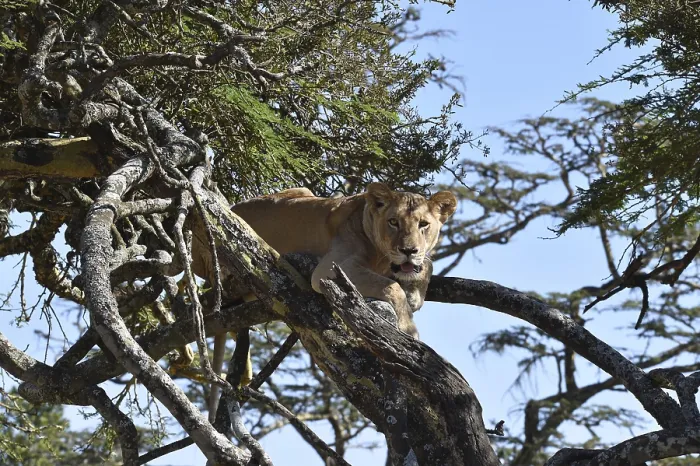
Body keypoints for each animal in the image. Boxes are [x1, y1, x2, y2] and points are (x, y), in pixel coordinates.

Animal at [195, 182, 457, 421]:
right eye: (393, 222)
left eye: (423, 225)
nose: (408, 251)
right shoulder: (330, 268)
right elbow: (391, 287)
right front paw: (408, 330)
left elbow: (426, 266)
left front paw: (416, 291)